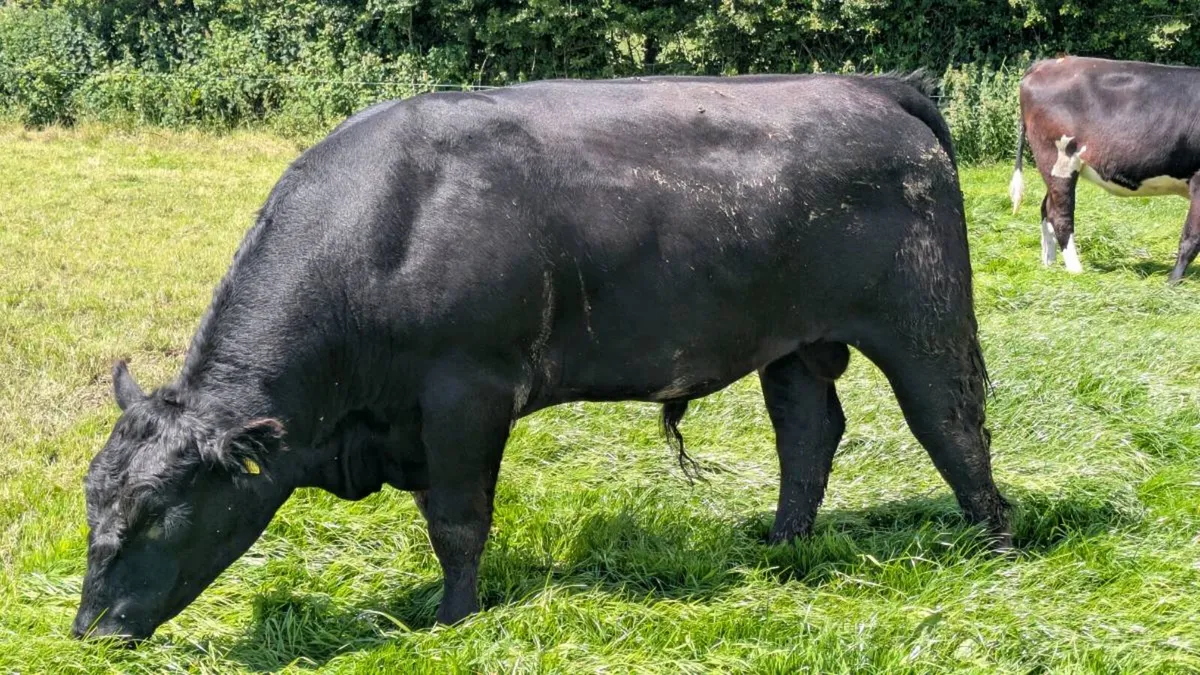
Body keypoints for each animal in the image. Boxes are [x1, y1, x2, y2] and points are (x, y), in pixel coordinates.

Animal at [73, 72, 1010, 642]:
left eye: (156, 513)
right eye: (93, 501)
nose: (90, 632)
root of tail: (872, 86)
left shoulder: (466, 395)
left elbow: (458, 521)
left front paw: (452, 619)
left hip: (923, 320)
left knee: (953, 422)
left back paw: (997, 551)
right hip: (793, 342)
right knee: (808, 431)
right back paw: (783, 547)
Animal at [1009, 56, 1200, 283]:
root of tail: (1046, 64)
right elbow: (1191, 238)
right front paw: (1173, 283)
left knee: (1046, 207)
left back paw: (1050, 264)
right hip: (1058, 158)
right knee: (1060, 216)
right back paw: (1076, 271)